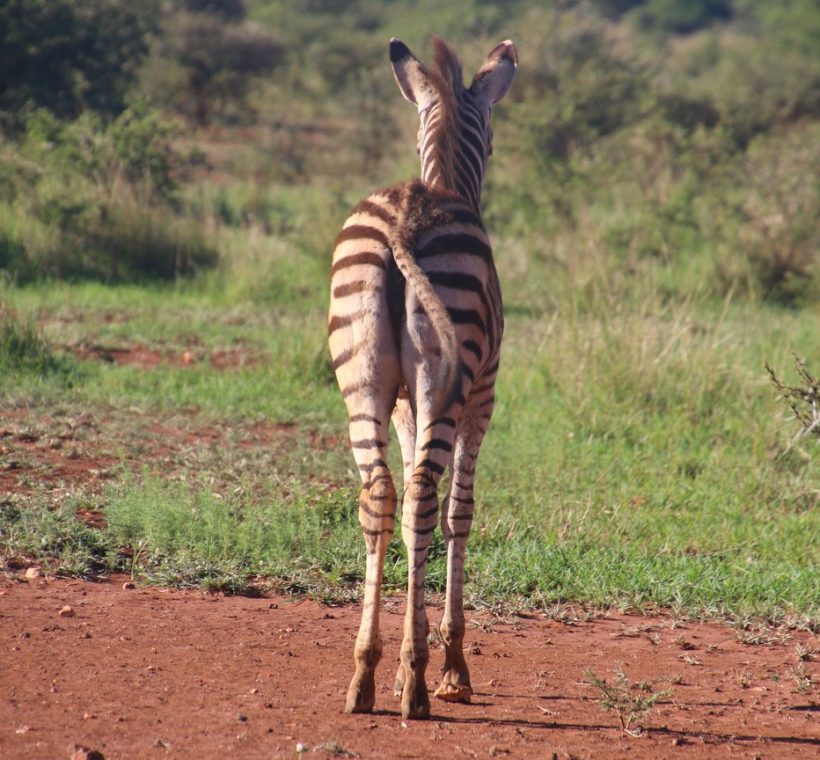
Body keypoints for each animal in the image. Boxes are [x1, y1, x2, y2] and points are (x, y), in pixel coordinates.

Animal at [328, 36, 517, 720]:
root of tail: (406, 220)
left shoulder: (406, 407)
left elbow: (414, 505)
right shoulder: (481, 398)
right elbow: (461, 510)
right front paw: (454, 666)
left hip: (362, 381)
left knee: (384, 494)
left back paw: (365, 675)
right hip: (448, 386)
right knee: (425, 499)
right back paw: (414, 685)